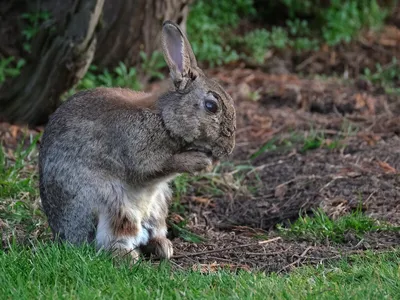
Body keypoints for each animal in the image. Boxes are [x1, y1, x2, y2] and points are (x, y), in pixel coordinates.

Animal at [38, 20, 234, 260]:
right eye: (211, 106)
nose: (229, 148)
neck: (164, 119)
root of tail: (61, 233)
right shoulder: (140, 156)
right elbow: (158, 167)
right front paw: (200, 161)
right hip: (113, 206)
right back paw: (129, 257)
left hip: (158, 205)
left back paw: (164, 247)